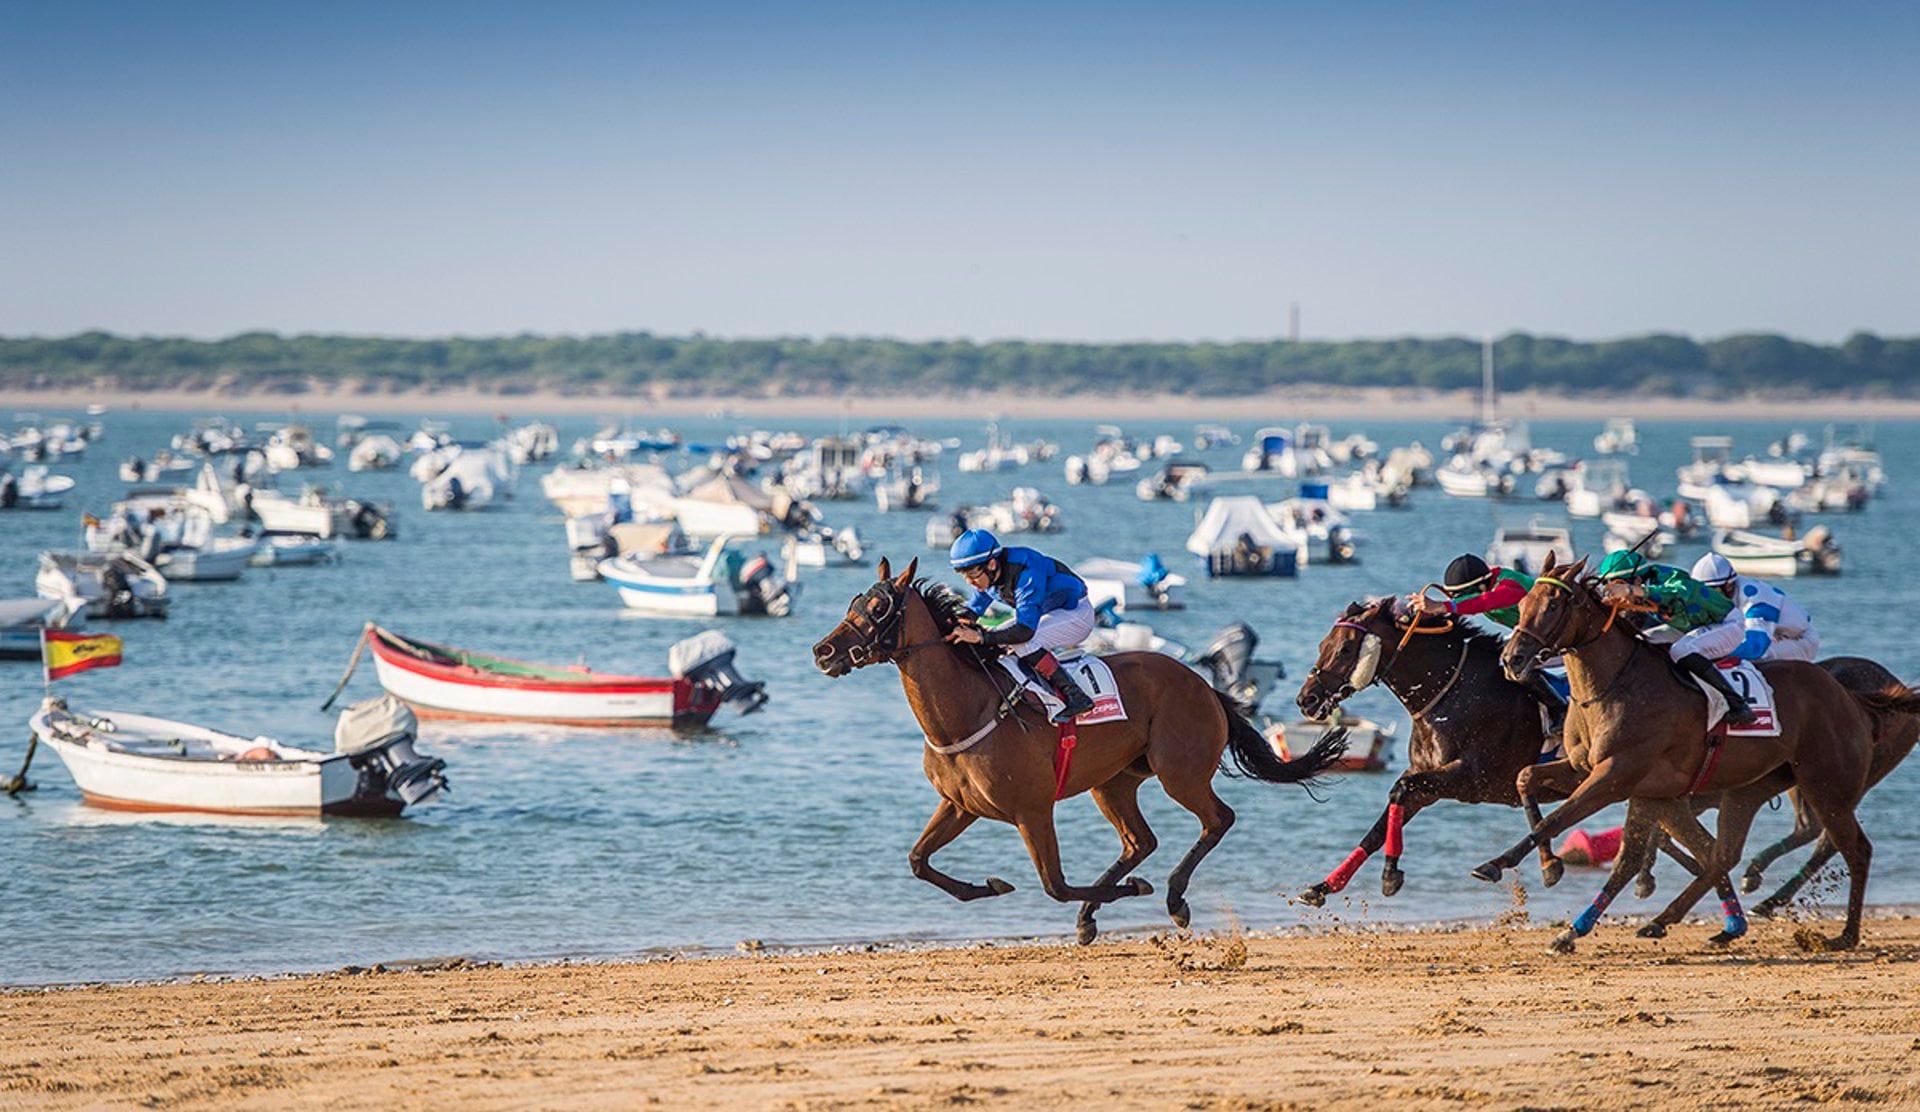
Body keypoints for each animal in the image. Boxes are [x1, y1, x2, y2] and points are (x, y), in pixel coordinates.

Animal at [817, 560, 1344, 944]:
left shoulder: (1032, 809)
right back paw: (1100, 911)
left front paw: (1128, 890)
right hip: (1113, 782)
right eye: (854, 602)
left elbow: (1055, 885)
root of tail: (1205, 686)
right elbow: (918, 861)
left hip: (1180, 772)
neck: (969, 709)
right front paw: (989, 885)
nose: (823, 651)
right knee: (1139, 841)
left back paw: (1172, 898)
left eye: (880, 607)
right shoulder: (959, 805)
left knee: (1218, 819)